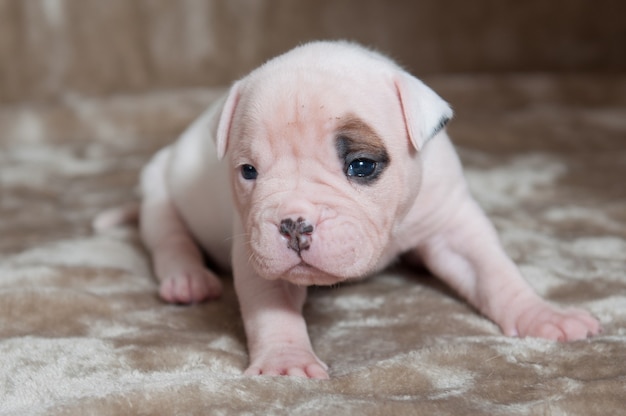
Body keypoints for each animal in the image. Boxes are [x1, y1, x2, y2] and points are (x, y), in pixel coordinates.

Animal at [105, 41, 596, 376]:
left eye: (361, 166)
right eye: (248, 171)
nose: (293, 224)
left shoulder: (453, 223)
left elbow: (495, 273)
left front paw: (544, 316)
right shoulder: (253, 246)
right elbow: (271, 307)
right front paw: (285, 360)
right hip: (158, 189)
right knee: (169, 237)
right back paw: (187, 279)